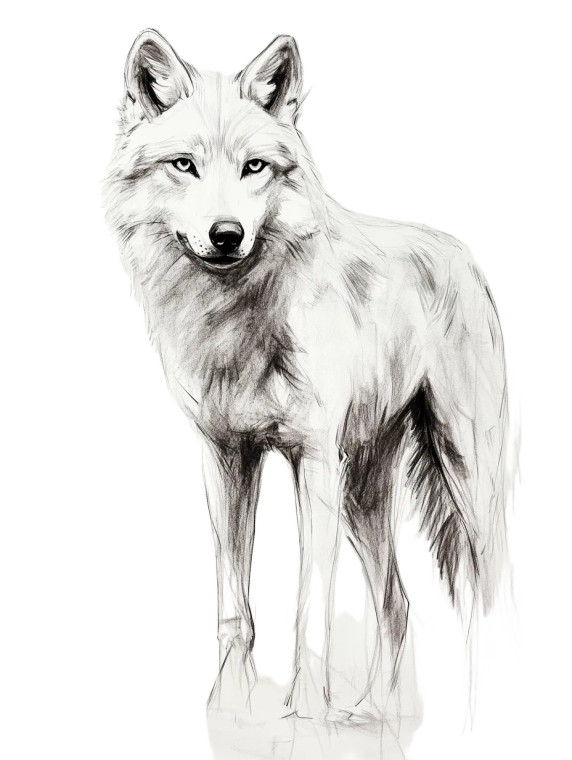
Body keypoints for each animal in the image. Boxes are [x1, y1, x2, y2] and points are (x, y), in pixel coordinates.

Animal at [104, 30, 509, 719]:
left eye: (254, 167)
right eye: (184, 165)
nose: (226, 234)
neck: (236, 322)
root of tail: (464, 255)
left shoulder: (313, 459)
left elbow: (309, 602)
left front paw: (306, 715)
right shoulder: (226, 459)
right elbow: (234, 606)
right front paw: (230, 707)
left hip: (462, 477)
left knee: (483, 597)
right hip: (363, 493)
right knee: (397, 602)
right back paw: (374, 714)